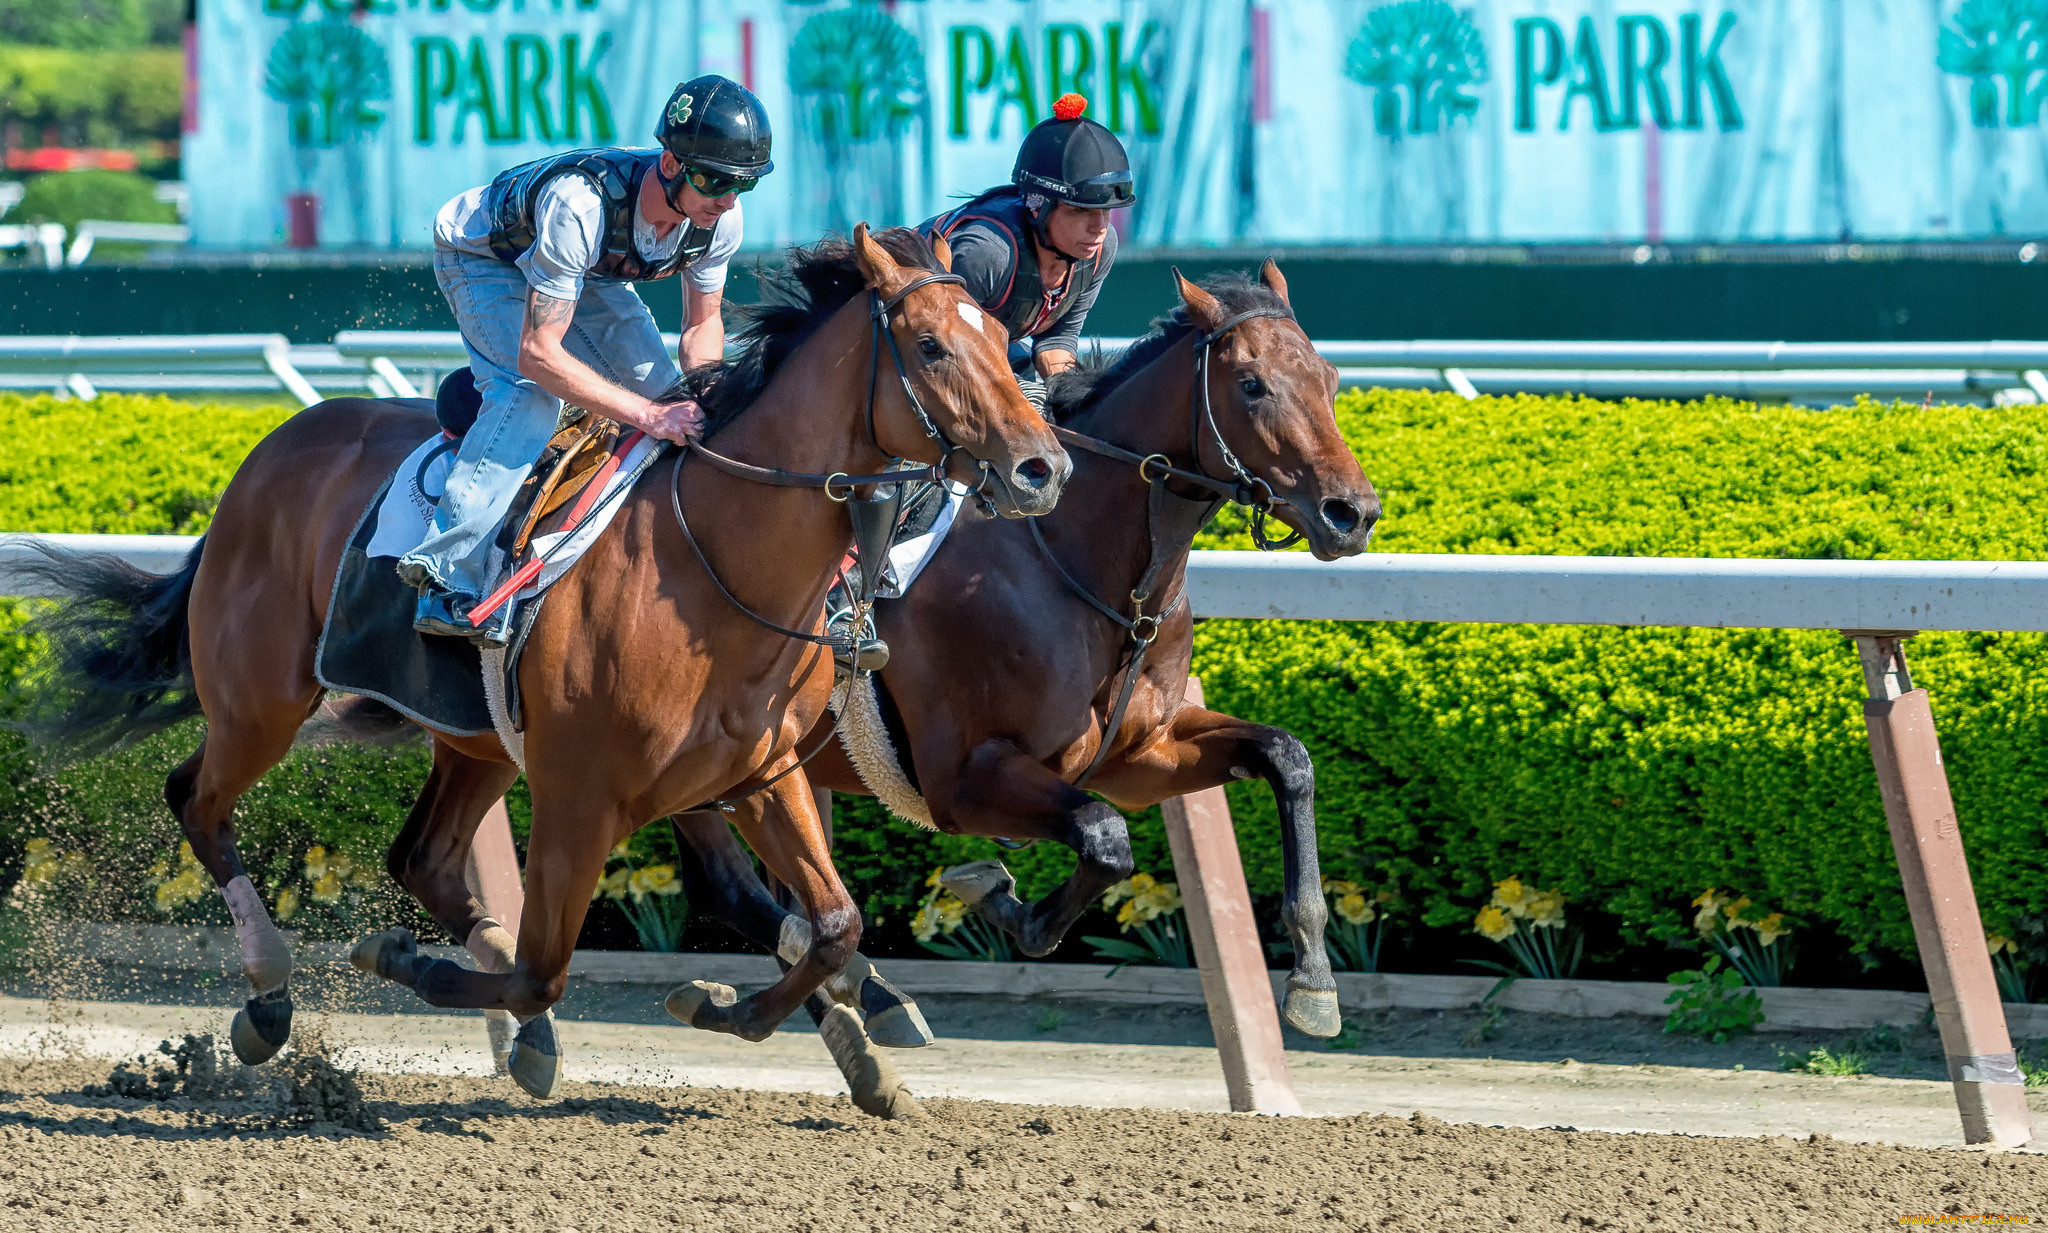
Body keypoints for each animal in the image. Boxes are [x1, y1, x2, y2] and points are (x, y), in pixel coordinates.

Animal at [19, 228, 1073, 1097]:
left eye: (1005, 339)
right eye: (932, 347)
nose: (1043, 467)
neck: (714, 559)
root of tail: (267, 453)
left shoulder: (763, 773)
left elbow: (832, 924)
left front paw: (734, 1008)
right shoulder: (579, 792)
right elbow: (543, 967)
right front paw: (403, 961)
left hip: (475, 740)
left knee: (421, 857)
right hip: (260, 700)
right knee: (198, 801)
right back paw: (271, 998)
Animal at [663, 261, 1384, 1056]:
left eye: (1330, 377)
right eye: (1252, 384)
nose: (1352, 513)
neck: (1081, 567)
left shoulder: (1141, 755)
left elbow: (1286, 757)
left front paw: (1313, 978)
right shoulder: (963, 777)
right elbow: (1104, 839)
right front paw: (1001, 894)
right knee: (729, 887)